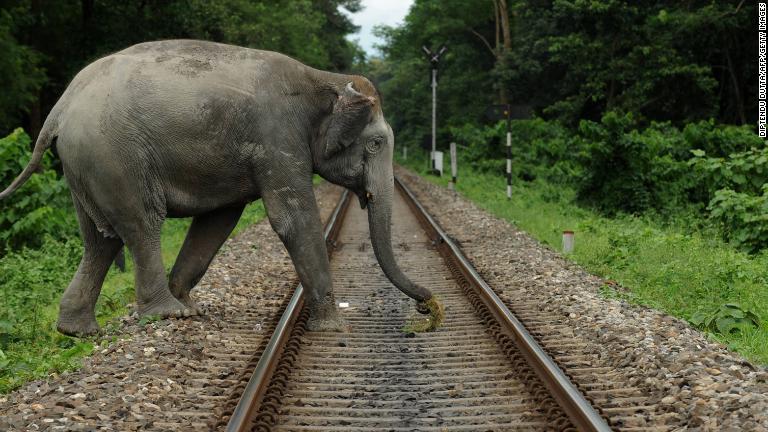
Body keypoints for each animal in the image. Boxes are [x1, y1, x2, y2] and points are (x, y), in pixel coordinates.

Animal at [0, 39, 432, 338]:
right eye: (375, 144)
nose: (428, 306)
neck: (323, 78)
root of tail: (59, 109)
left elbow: (218, 220)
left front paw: (190, 301)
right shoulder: (276, 138)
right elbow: (292, 220)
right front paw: (334, 326)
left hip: (84, 164)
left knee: (99, 240)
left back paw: (79, 330)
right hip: (114, 156)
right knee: (141, 226)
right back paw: (166, 313)